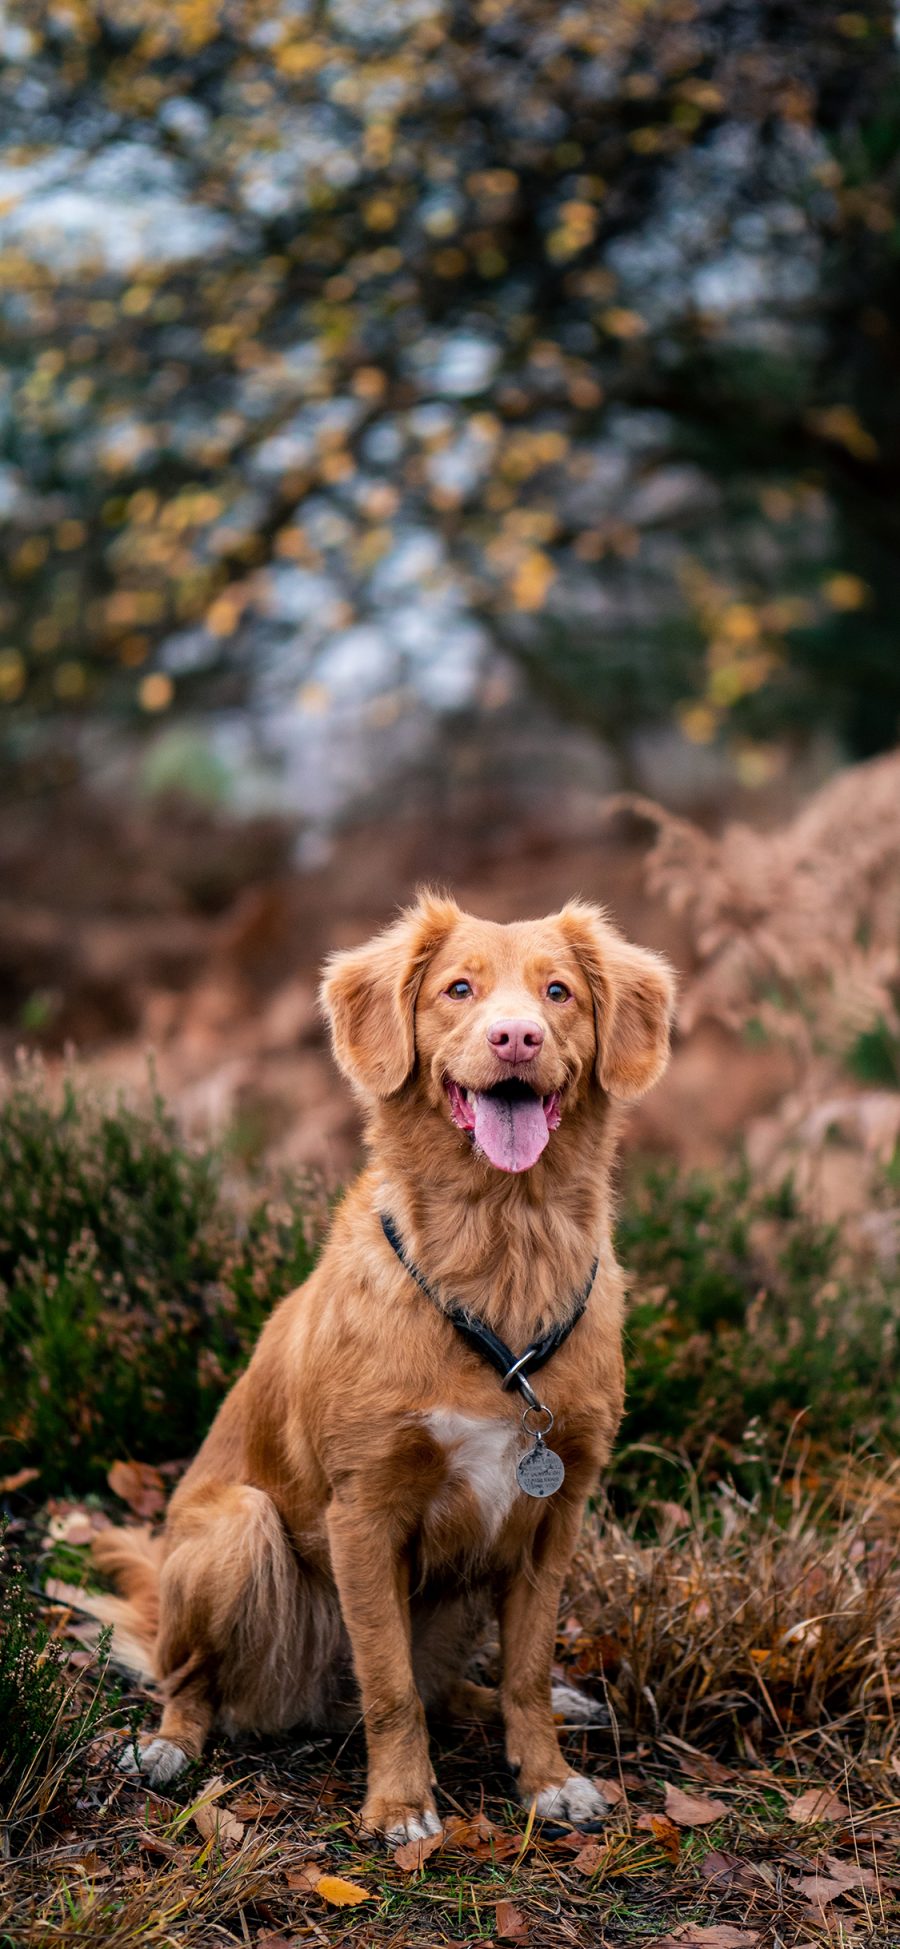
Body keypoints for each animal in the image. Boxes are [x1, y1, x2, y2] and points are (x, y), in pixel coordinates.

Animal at [94, 896, 674, 1839]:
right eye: (459, 988)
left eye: (558, 991)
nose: (516, 1036)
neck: (503, 1244)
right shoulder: (364, 1512)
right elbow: (390, 1685)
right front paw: (401, 1804)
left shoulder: (554, 1517)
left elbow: (520, 1671)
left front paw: (547, 1778)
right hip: (239, 1533)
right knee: (195, 1682)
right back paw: (170, 1747)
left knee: (454, 1688)